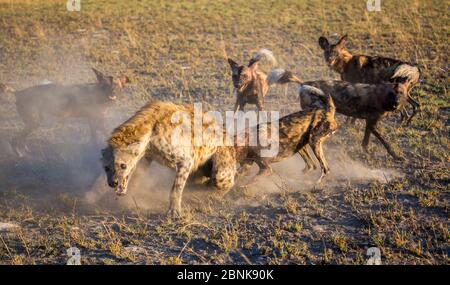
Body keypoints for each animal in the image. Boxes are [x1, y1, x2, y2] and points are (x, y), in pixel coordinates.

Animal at [101, 100, 236, 215]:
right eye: (106, 168)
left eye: (123, 165)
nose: (113, 182)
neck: (150, 134)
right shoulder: (147, 156)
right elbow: (139, 173)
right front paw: (131, 196)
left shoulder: (186, 159)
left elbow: (176, 187)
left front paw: (174, 211)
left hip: (222, 163)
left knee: (223, 180)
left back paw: (207, 194)